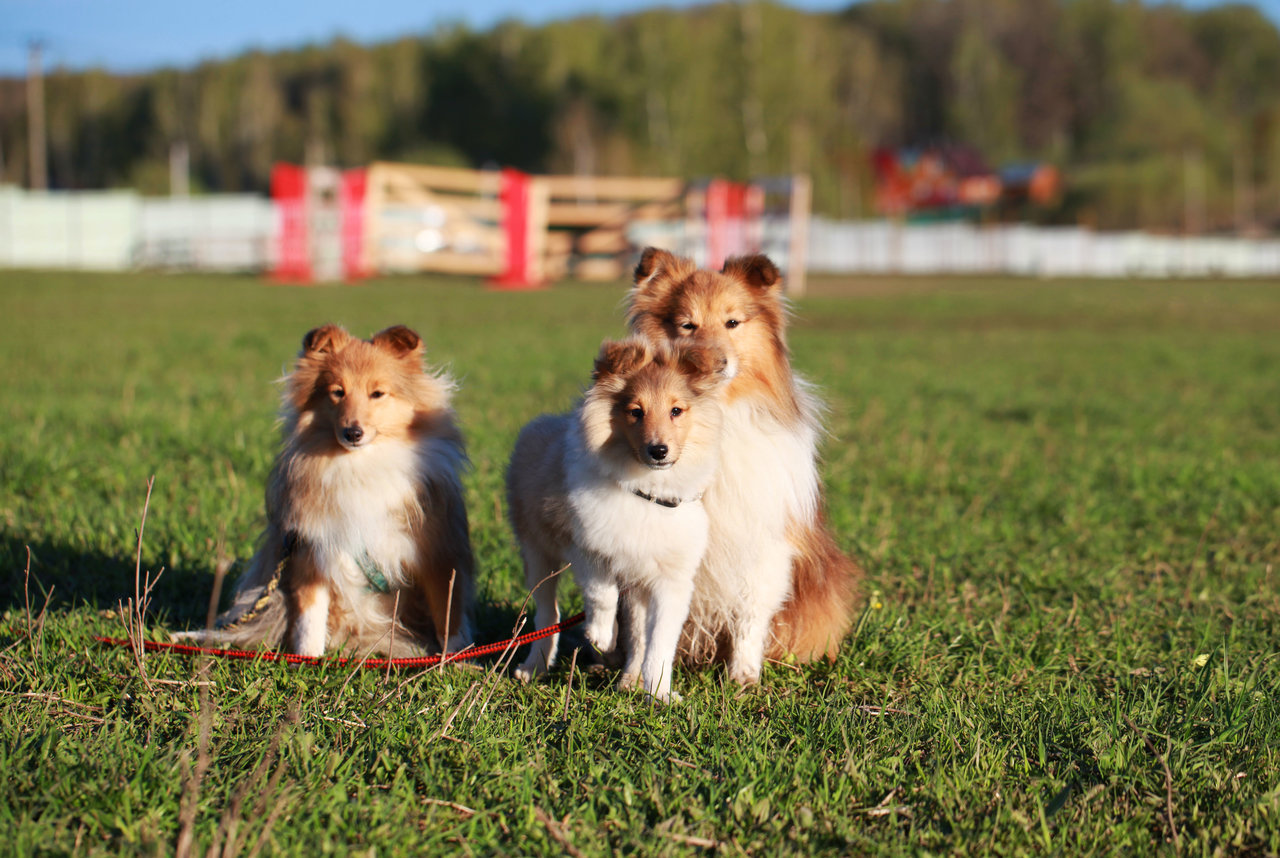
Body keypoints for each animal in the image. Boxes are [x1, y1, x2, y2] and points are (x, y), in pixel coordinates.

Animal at [177, 323, 478, 660]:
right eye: (337, 392)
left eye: (377, 393)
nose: (353, 432)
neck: (361, 465)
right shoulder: (313, 549)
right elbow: (310, 620)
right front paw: (307, 661)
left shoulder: (437, 553)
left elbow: (448, 614)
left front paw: (454, 660)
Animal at [509, 340, 732, 701]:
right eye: (635, 411)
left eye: (676, 411)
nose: (659, 450)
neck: (646, 492)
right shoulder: (587, 545)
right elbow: (602, 593)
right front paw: (602, 634)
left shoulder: (672, 581)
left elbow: (660, 642)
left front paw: (660, 693)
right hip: (537, 552)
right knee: (547, 614)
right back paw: (535, 667)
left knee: (637, 632)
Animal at [622, 247, 860, 686]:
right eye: (687, 324)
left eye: (733, 322)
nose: (714, 362)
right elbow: (638, 623)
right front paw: (631, 679)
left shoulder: (763, 541)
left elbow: (750, 613)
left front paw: (744, 678)